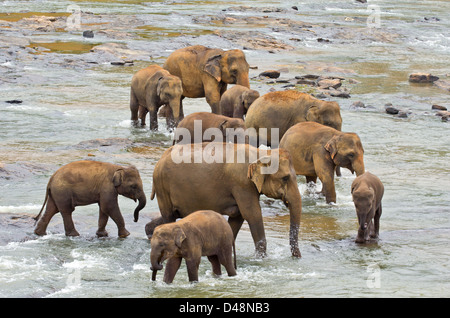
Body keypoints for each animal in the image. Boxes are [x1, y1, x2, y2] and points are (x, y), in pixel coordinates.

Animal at [148, 143, 302, 258]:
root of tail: (161, 158)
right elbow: (252, 215)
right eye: (285, 178)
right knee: (169, 216)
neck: (261, 153)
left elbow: (238, 217)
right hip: (162, 187)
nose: (297, 257)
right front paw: (262, 259)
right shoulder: (242, 184)